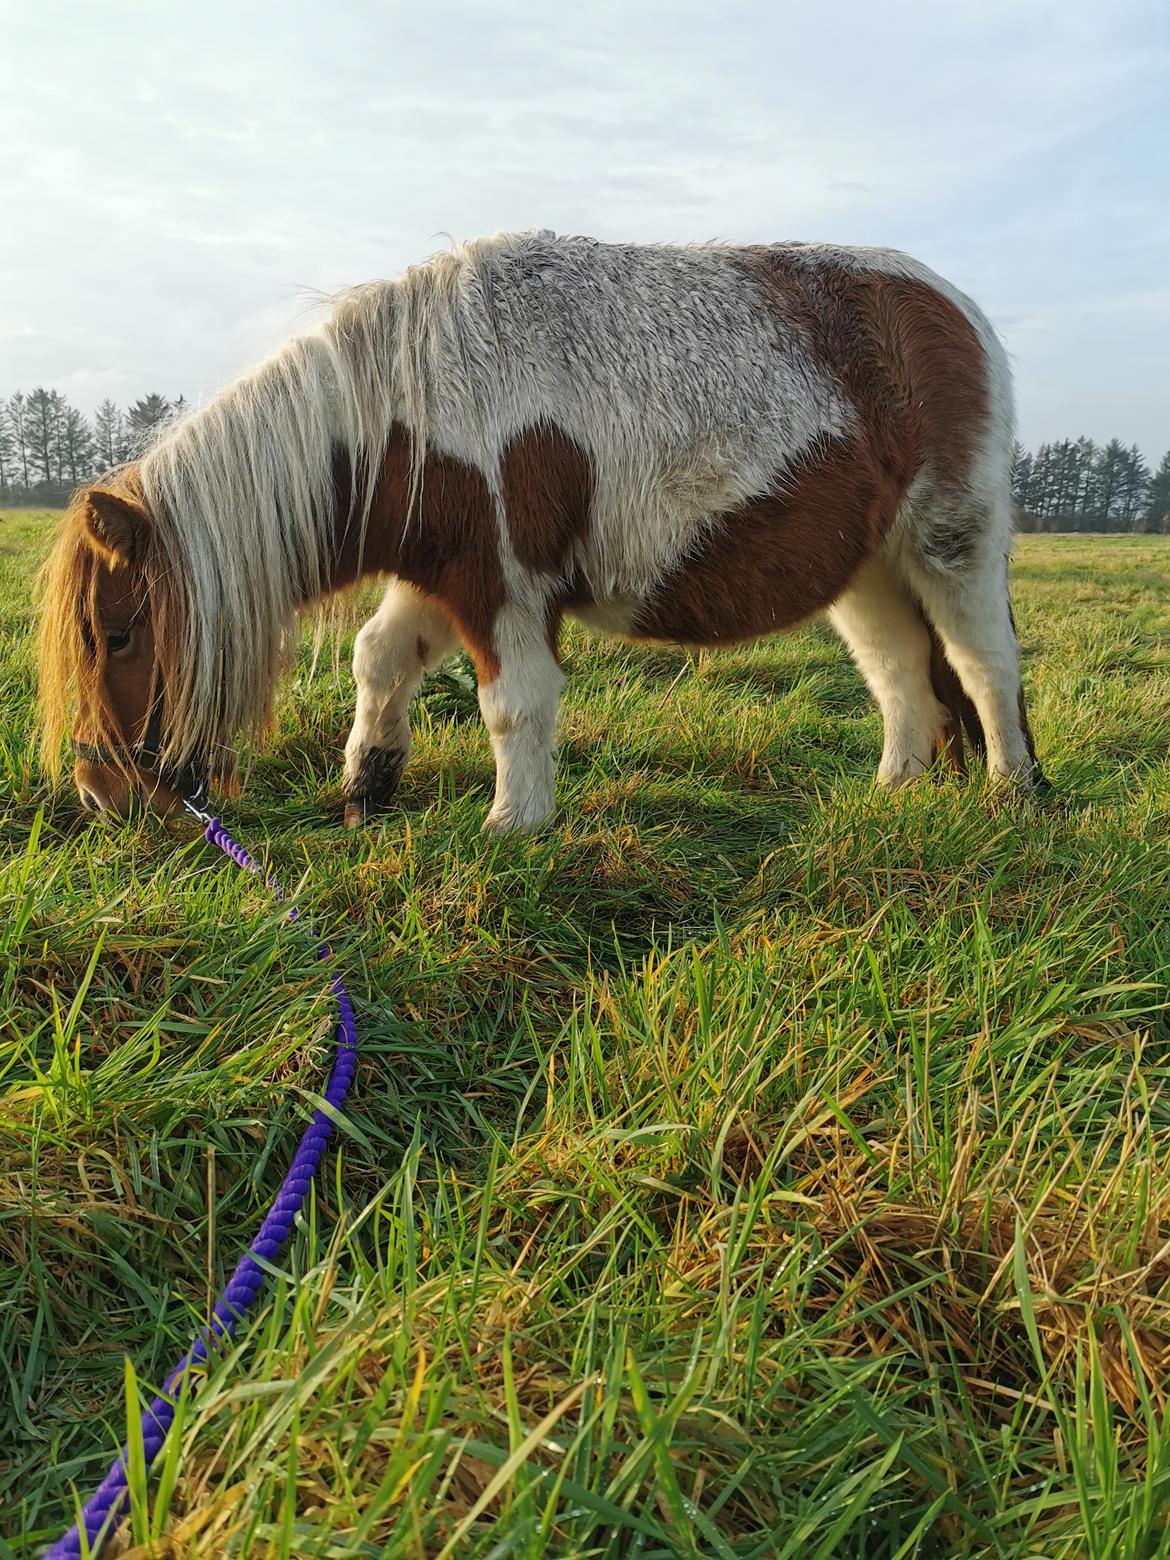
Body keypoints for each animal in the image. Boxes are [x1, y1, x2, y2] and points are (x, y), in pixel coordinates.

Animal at [36, 227, 1042, 829]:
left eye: (115, 635)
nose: (98, 794)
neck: (411, 411)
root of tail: (954, 308)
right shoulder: (442, 574)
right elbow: (378, 658)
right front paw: (366, 789)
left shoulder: (504, 586)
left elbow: (512, 704)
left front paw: (514, 827)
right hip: (866, 572)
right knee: (903, 675)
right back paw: (894, 794)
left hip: (950, 546)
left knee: (983, 666)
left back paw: (1013, 793)